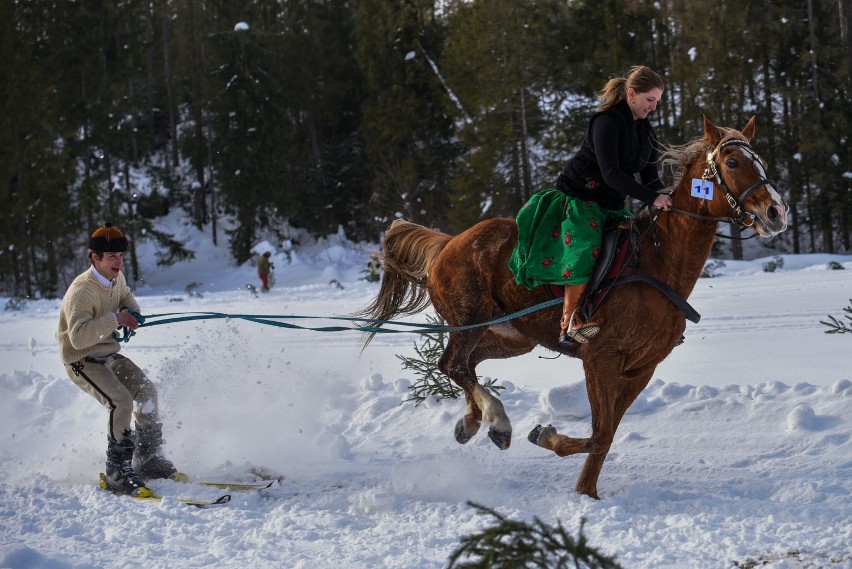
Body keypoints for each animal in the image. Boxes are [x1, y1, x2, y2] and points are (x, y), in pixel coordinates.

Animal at [360, 116, 784, 496]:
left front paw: (586, 491)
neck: (656, 265)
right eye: (733, 162)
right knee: (451, 364)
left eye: (761, 160)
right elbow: (599, 434)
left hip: (513, 336)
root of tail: (448, 242)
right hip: (471, 319)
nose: (776, 212)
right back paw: (497, 421)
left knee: (467, 365)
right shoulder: (600, 359)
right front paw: (546, 437)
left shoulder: (641, 369)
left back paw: (472, 421)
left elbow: (607, 435)